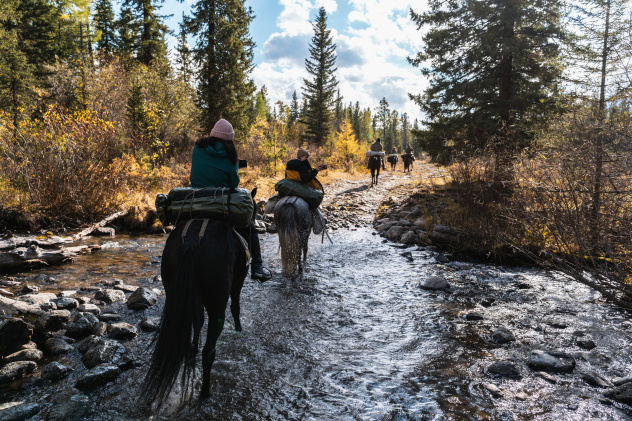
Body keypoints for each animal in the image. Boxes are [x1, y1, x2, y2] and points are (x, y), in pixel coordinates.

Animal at [139, 189, 256, 404]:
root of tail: (194, 241)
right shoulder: (238, 282)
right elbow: (236, 306)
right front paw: (238, 327)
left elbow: (198, 320)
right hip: (217, 304)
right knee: (209, 349)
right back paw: (205, 392)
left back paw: (190, 353)